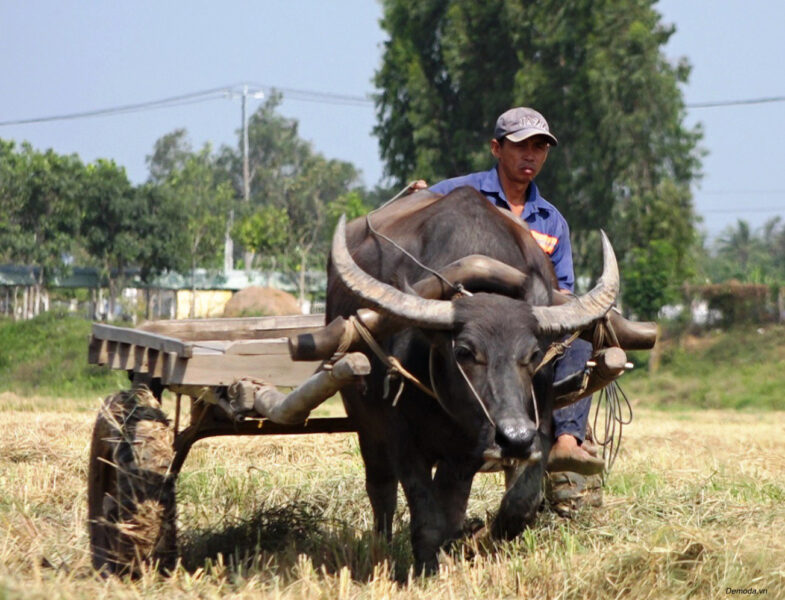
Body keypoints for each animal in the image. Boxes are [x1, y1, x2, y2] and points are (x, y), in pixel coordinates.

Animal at [322, 188, 616, 572]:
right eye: (464, 351)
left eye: (533, 354)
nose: (515, 437)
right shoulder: (402, 438)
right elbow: (427, 516)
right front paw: (428, 568)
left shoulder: (487, 444)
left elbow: (513, 504)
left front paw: (478, 539)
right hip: (365, 425)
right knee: (380, 490)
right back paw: (380, 547)